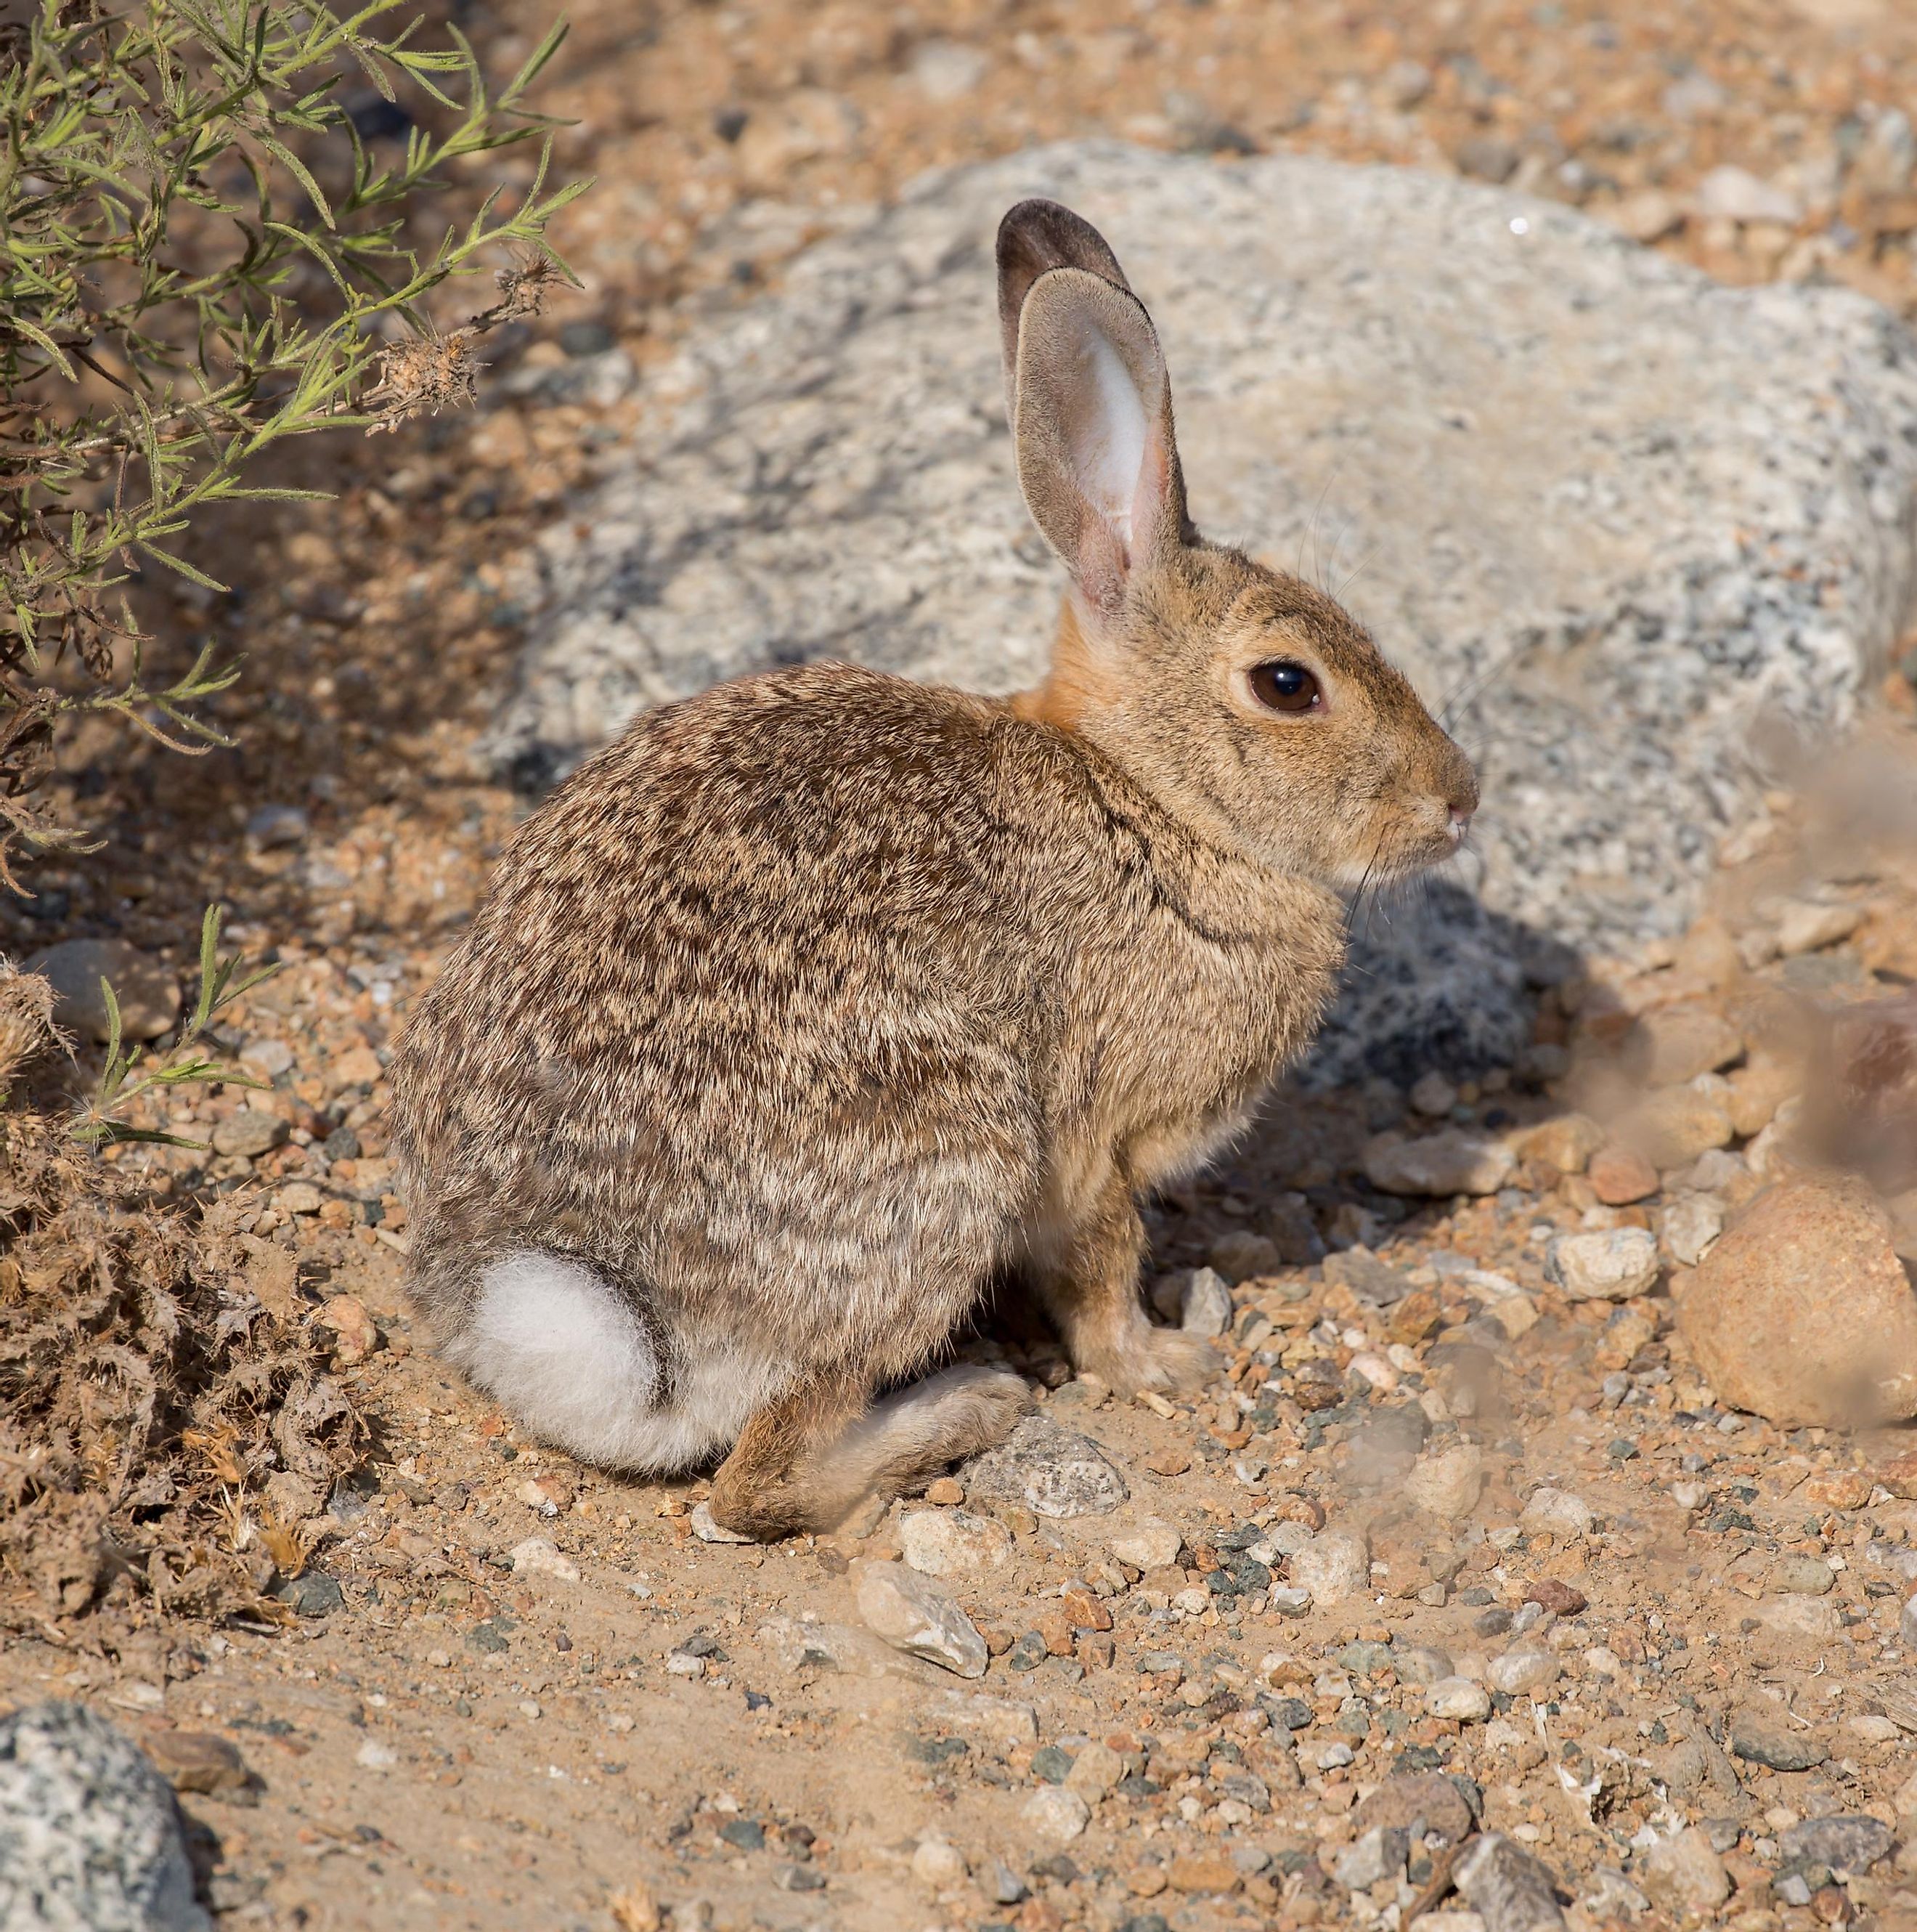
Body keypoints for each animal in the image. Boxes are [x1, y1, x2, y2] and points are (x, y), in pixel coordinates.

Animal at [382, 200, 1476, 1538]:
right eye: (1287, 685)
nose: (1459, 801)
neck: (1152, 806)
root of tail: (589, 1306)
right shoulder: (1095, 1142)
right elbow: (1104, 1268)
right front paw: (1163, 1363)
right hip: (948, 1162)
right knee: (761, 1479)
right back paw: (965, 1409)